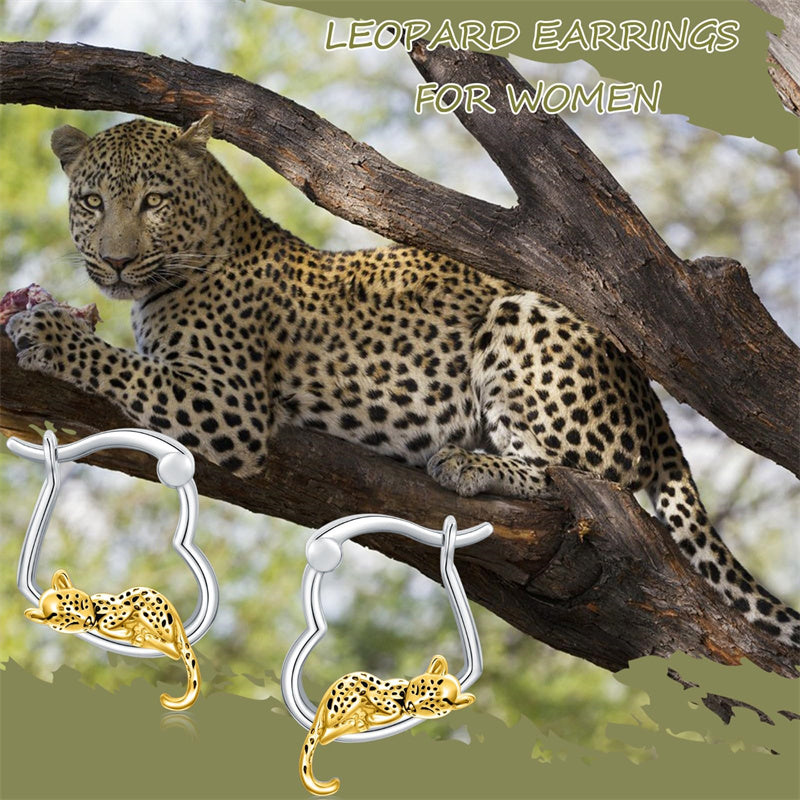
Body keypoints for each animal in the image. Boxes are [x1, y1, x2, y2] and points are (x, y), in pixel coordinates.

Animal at [4, 115, 798, 647]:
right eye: (92, 202)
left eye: (153, 201)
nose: (113, 262)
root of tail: (654, 404)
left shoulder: (229, 404)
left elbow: (122, 364)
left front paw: (45, 331)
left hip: (521, 315)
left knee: (586, 481)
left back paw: (467, 462)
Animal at [24, 569, 200, 710]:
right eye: (70, 622)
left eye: (81, 604)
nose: (88, 620)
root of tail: (177, 622)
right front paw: (128, 631)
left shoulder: (122, 607)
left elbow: (111, 619)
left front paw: (128, 628)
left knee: (173, 648)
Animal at [299, 654, 474, 795]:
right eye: (418, 689)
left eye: (429, 707)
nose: (411, 706)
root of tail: (322, 709)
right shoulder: (376, 692)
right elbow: (387, 704)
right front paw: (372, 713)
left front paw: (372, 716)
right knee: (326, 732)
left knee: (326, 735)